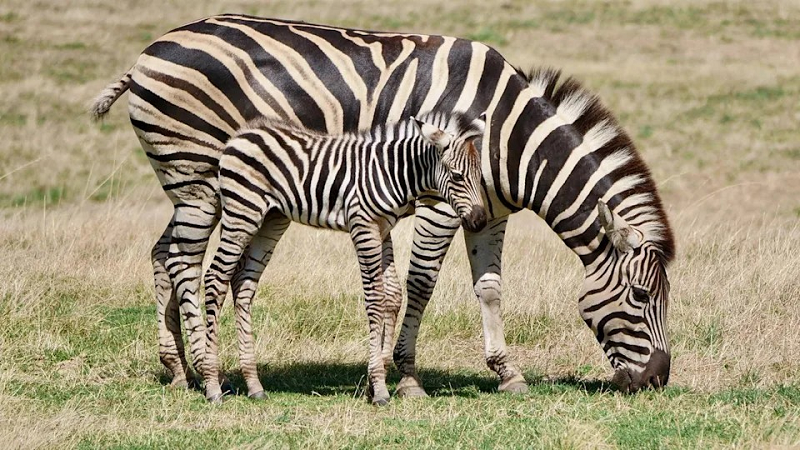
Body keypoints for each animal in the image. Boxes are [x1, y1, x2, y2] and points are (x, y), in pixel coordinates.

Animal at [203, 112, 484, 404]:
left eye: (480, 175)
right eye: (457, 176)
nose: (480, 221)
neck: (392, 173)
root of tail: (240, 136)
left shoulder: (383, 230)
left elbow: (392, 296)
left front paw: (375, 379)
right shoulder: (363, 226)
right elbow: (375, 299)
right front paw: (379, 388)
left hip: (271, 219)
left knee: (243, 282)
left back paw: (254, 384)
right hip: (242, 212)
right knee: (216, 277)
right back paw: (212, 386)